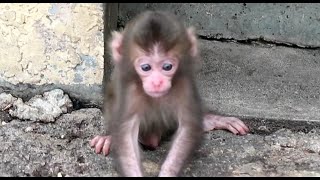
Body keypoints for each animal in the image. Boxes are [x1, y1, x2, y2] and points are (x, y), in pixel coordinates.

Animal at [90, 10, 250, 176]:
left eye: (167, 66)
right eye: (146, 67)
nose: (157, 82)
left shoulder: (183, 83)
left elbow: (187, 127)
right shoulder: (131, 89)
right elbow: (126, 133)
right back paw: (109, 138)